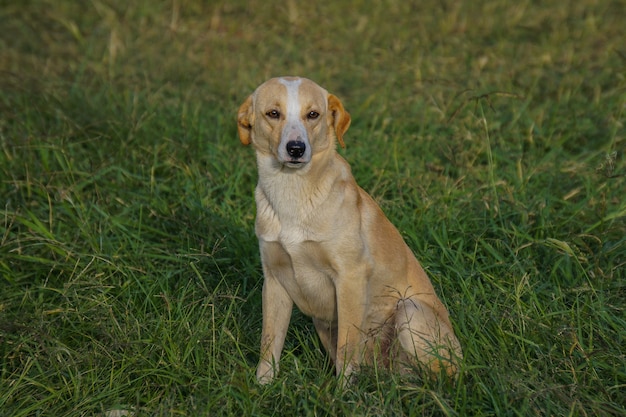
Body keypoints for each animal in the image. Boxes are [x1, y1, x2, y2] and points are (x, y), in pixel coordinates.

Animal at [236, 75, 460, 384]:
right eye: (273, 113)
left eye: (313, 114)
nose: (296, 148)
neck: (292, 192)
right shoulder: (275, 280)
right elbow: (269, 343)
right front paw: (263, 387)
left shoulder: (350, 278)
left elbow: (346, 346)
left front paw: (342, 391)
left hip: (409, 311)